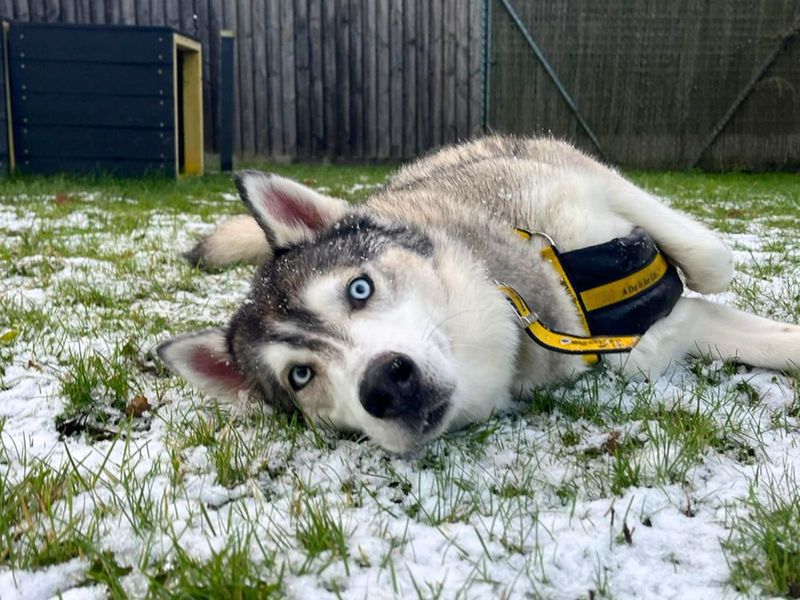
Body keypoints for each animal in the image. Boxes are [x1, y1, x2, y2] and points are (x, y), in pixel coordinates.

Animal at [158, 136, 800, 452]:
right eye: (300, 376)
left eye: (359, 288)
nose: (383, 384)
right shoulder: (644, 346)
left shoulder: (572, 175)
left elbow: (715, 261)